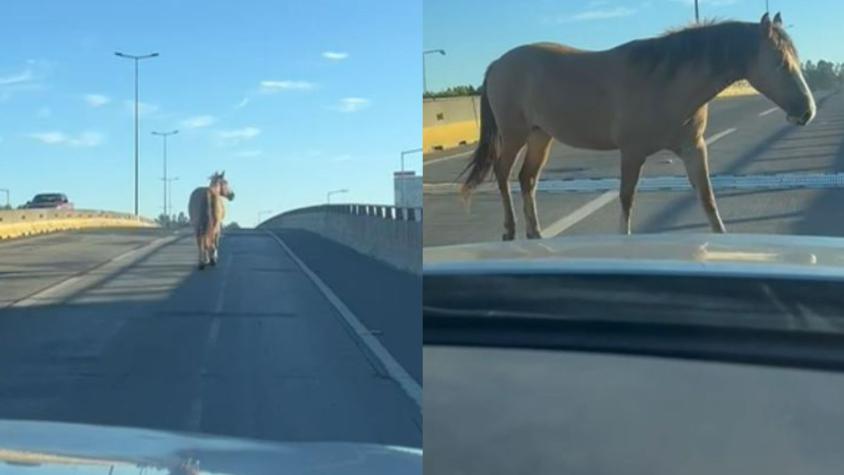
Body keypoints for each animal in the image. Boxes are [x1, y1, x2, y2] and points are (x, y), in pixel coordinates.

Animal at [462, 12, 816, 240]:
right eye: (780, 62)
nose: (807, 111)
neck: (666, 81)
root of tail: (498, 64)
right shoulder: (632, 153)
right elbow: (626, 199)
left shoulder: (693, 148)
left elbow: (707, 197)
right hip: (514, 134)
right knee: (503, 173)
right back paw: (509, 230)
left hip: (541, 135)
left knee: (528, 178)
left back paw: (535, 233)